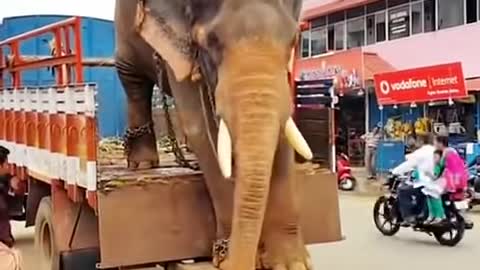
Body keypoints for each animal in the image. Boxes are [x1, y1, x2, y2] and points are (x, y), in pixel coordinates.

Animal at [114, 0, 314, 270]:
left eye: (293, 40)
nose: (234, 261)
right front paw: (224, 257)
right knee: (133, 83)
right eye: (212, 41)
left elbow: (283, 131)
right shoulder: (183, 47)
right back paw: (143, 165)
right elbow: (200, 126)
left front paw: (290, 263)